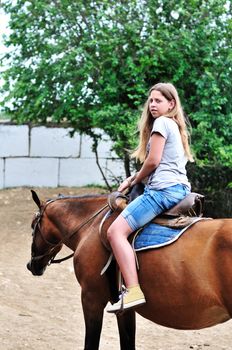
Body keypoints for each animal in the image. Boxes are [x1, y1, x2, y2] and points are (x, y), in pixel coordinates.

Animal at [26, 191, 232, 350]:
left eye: (33, 226)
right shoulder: (123, 308)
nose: (31, 265)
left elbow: (91, 343)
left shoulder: (91, 297)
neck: (91, 226)